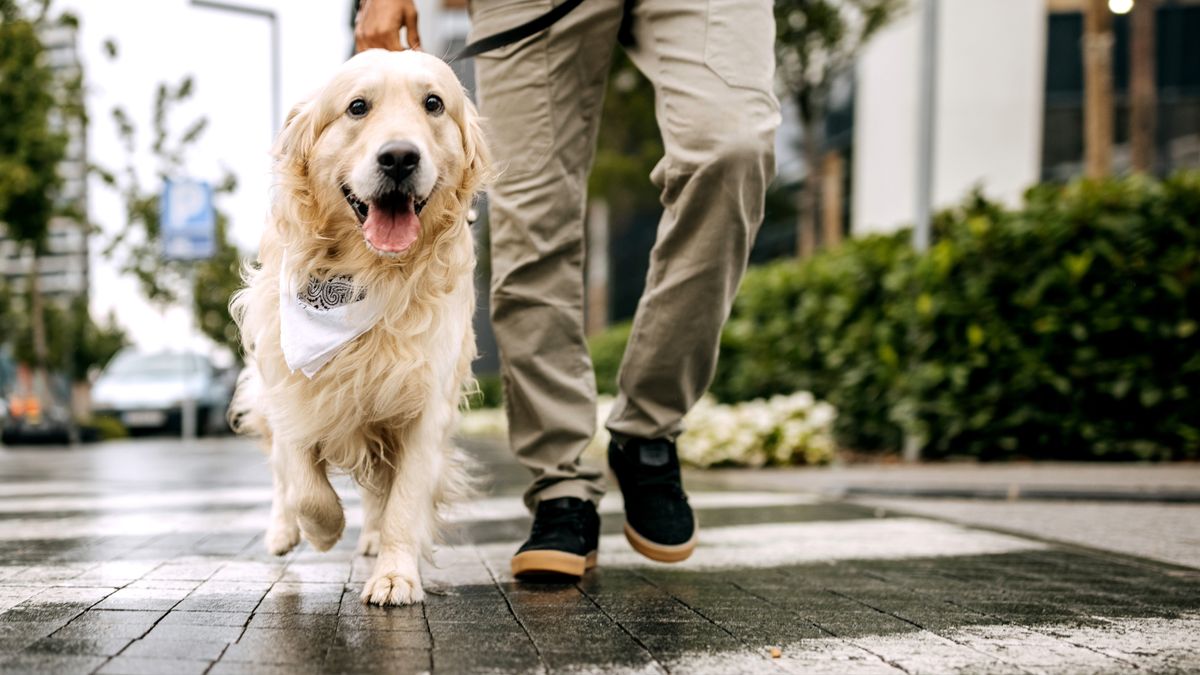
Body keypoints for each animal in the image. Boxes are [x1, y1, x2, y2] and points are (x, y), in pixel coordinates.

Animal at [226, 49, 489, 600]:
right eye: (357, 107)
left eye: (434, 103)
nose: (400, 158)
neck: (366, 275)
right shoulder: (292, 386)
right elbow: (304, 484)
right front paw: (322, 531)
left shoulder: (423, 400)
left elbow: (404, 501)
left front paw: (393, 575)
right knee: (281, 475)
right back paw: (283, 532)